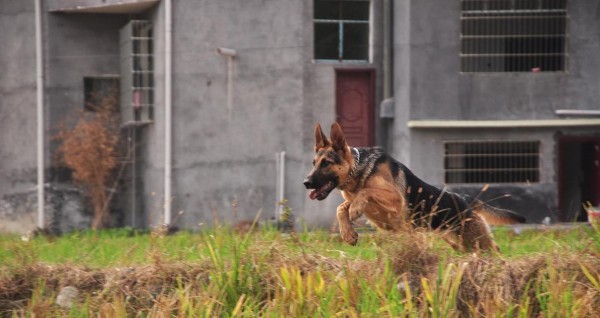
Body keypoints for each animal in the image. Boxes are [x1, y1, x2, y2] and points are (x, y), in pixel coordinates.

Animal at [302, 122, 524, 251]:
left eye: (326, 163)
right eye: (314, 163)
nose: (306, 183)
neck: (360, 169)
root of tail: (465, 200)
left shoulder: (395, 199)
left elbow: (365, 192)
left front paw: (355, 210)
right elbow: (342, 207)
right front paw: (347, 232)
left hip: (475, 241)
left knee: (494, 250)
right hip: (460, 244)